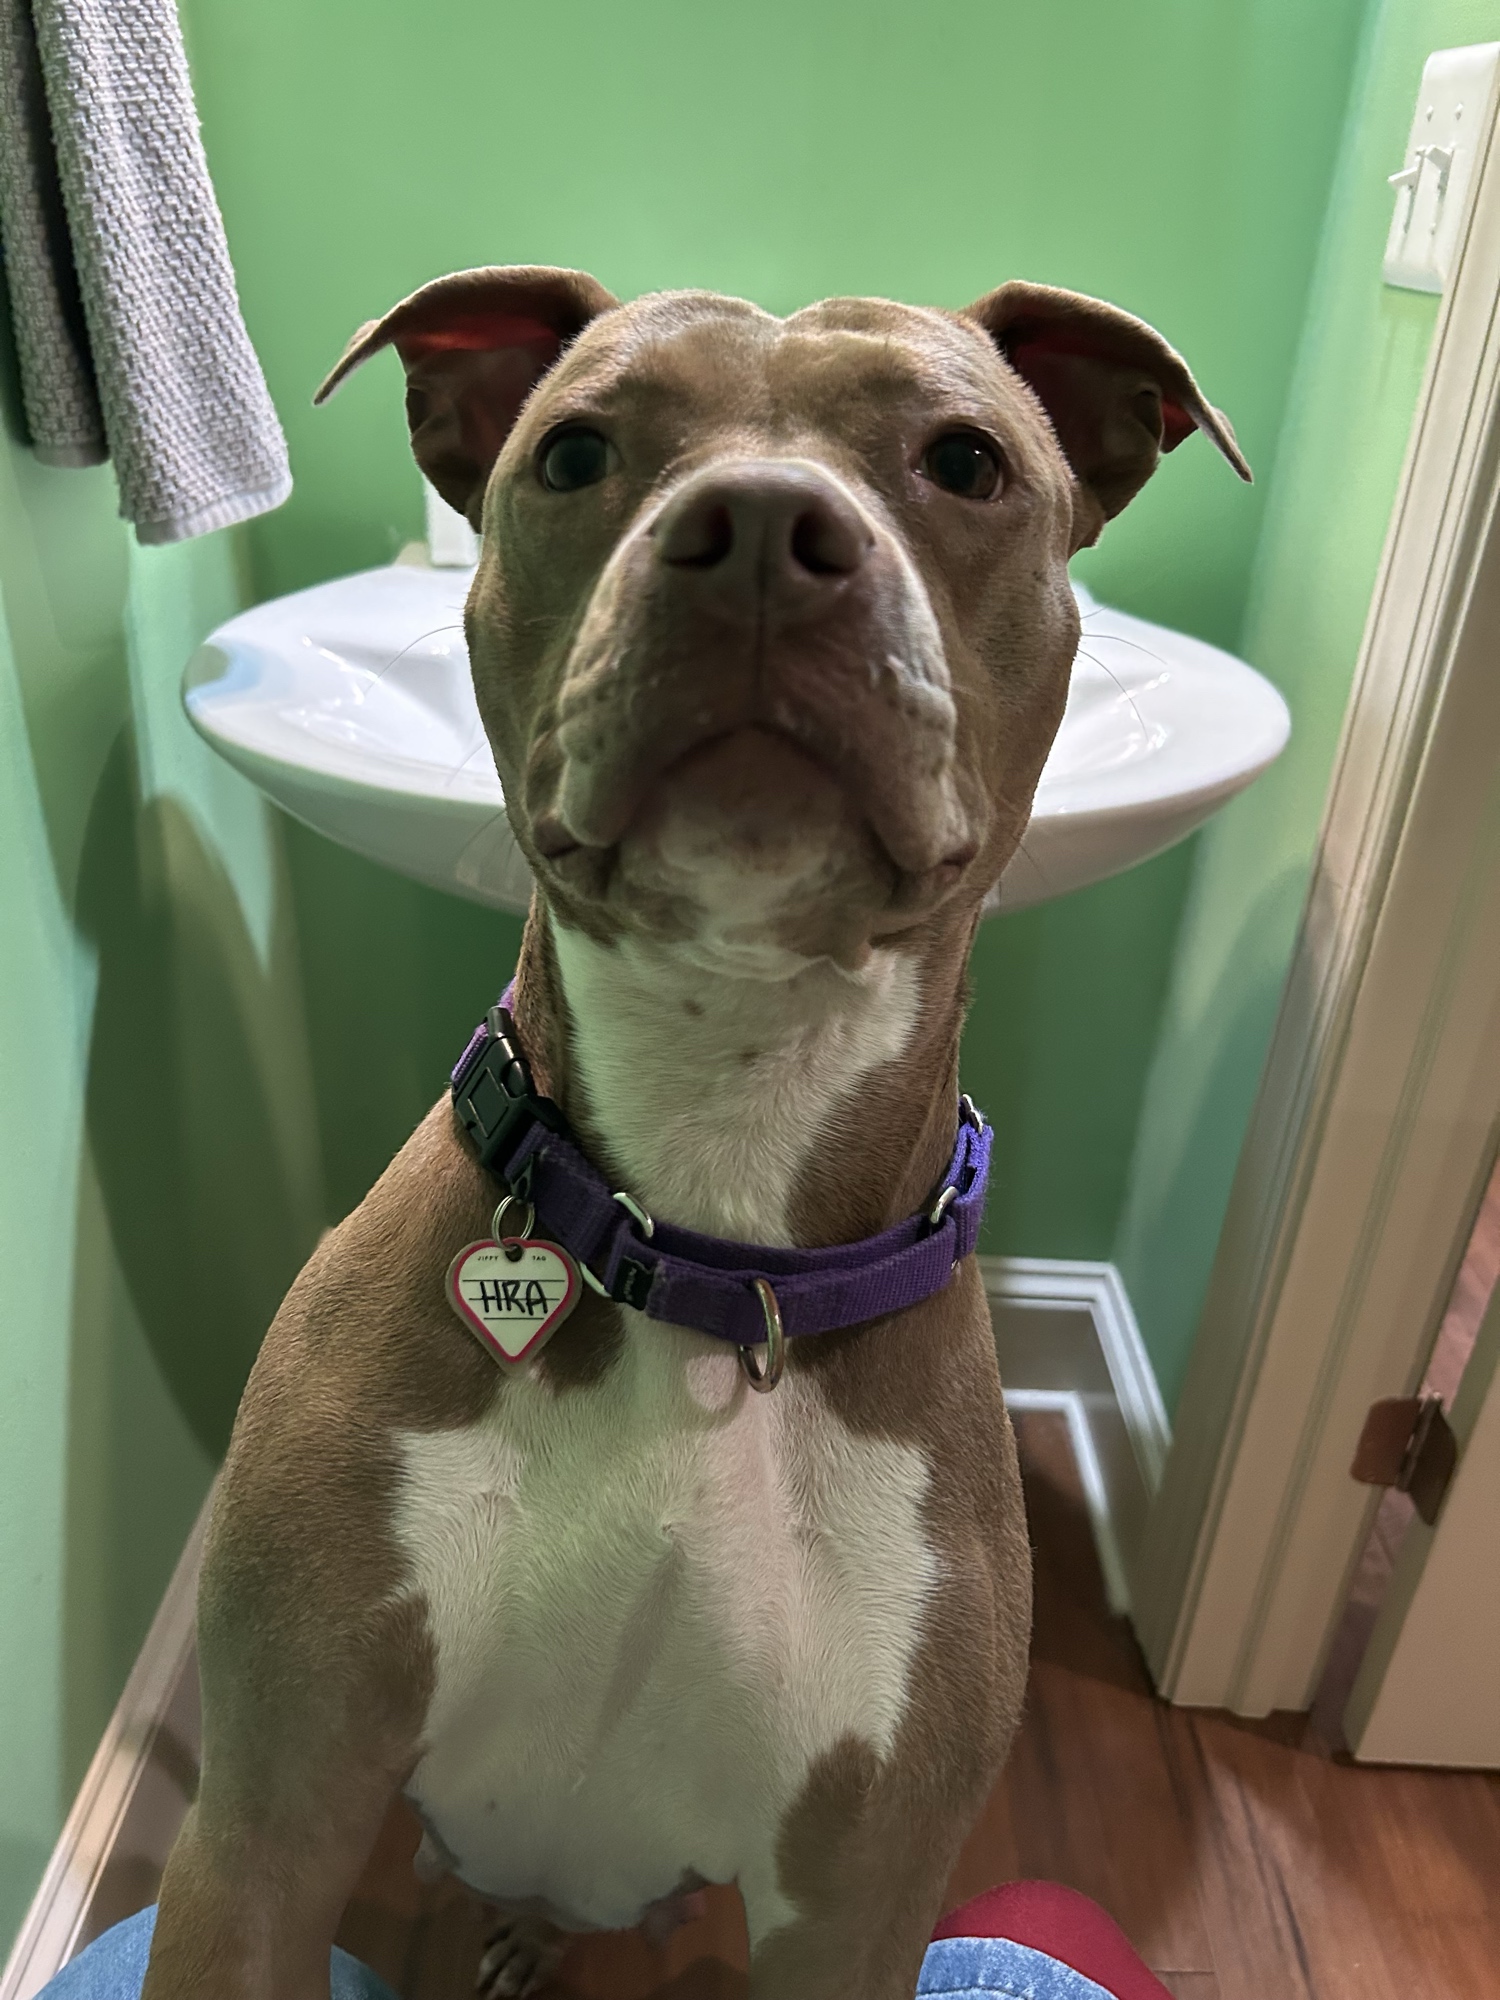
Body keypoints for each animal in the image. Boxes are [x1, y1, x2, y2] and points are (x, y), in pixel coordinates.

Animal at [140, 267, 1246, 2000]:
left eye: (968, 461)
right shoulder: (266, 1825)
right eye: (577, 451)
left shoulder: (855, 1905)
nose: (764, 528)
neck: (720, 1234)